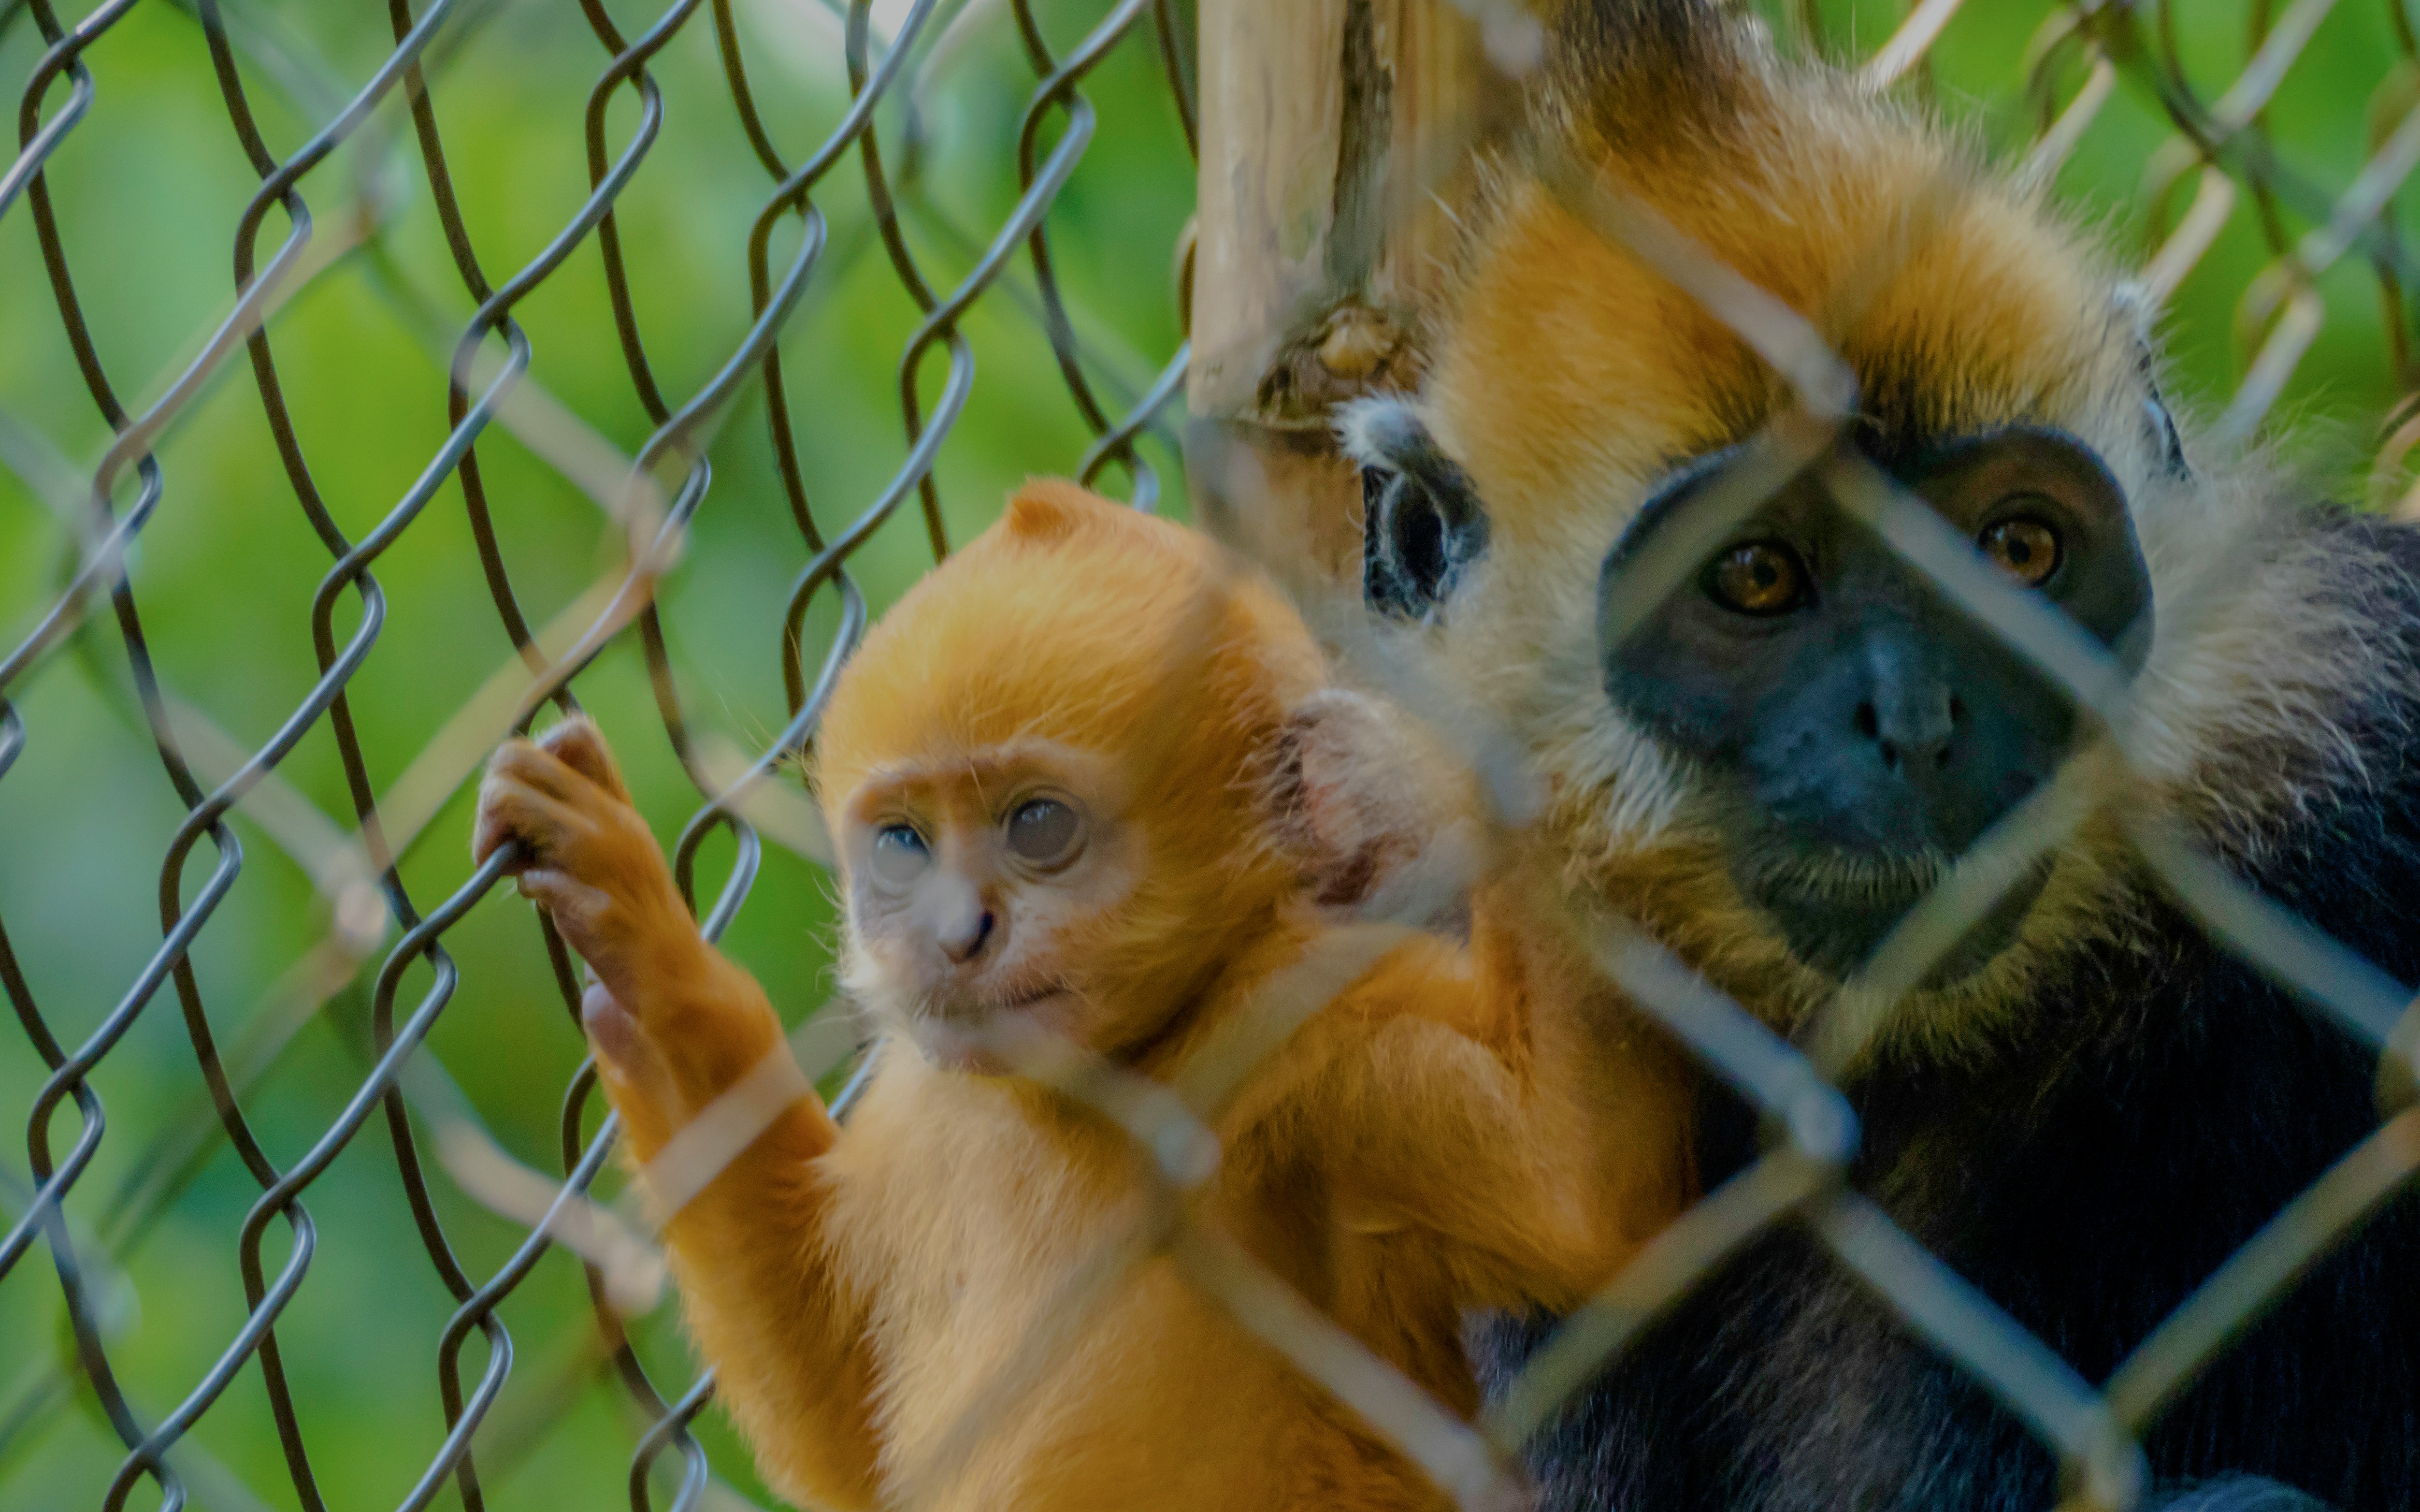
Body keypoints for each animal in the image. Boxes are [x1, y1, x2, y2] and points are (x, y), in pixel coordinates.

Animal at [470, 481, 1687, 1512]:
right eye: (904, 844)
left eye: (1038, 825)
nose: (955, 936)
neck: (1125, 1066)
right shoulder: (922, 1096)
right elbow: (847, 1450)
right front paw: (648, 961)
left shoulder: (1310, 1016)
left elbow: (1581, 1197)